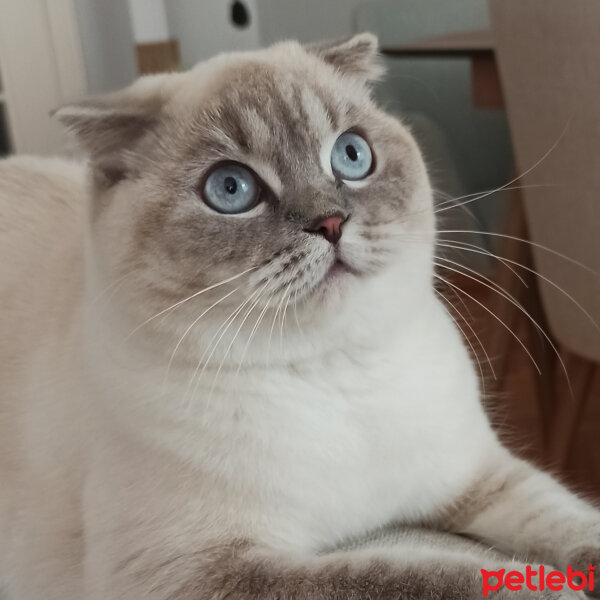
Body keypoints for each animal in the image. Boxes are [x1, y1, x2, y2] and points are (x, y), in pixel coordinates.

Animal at [1, 34, 600, 600]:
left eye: (352, 155)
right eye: (230, 188)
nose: (331, 222)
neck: (337, 369)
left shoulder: (478, 476)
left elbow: (570, 519)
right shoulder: (194, 572)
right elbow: (429, 577)